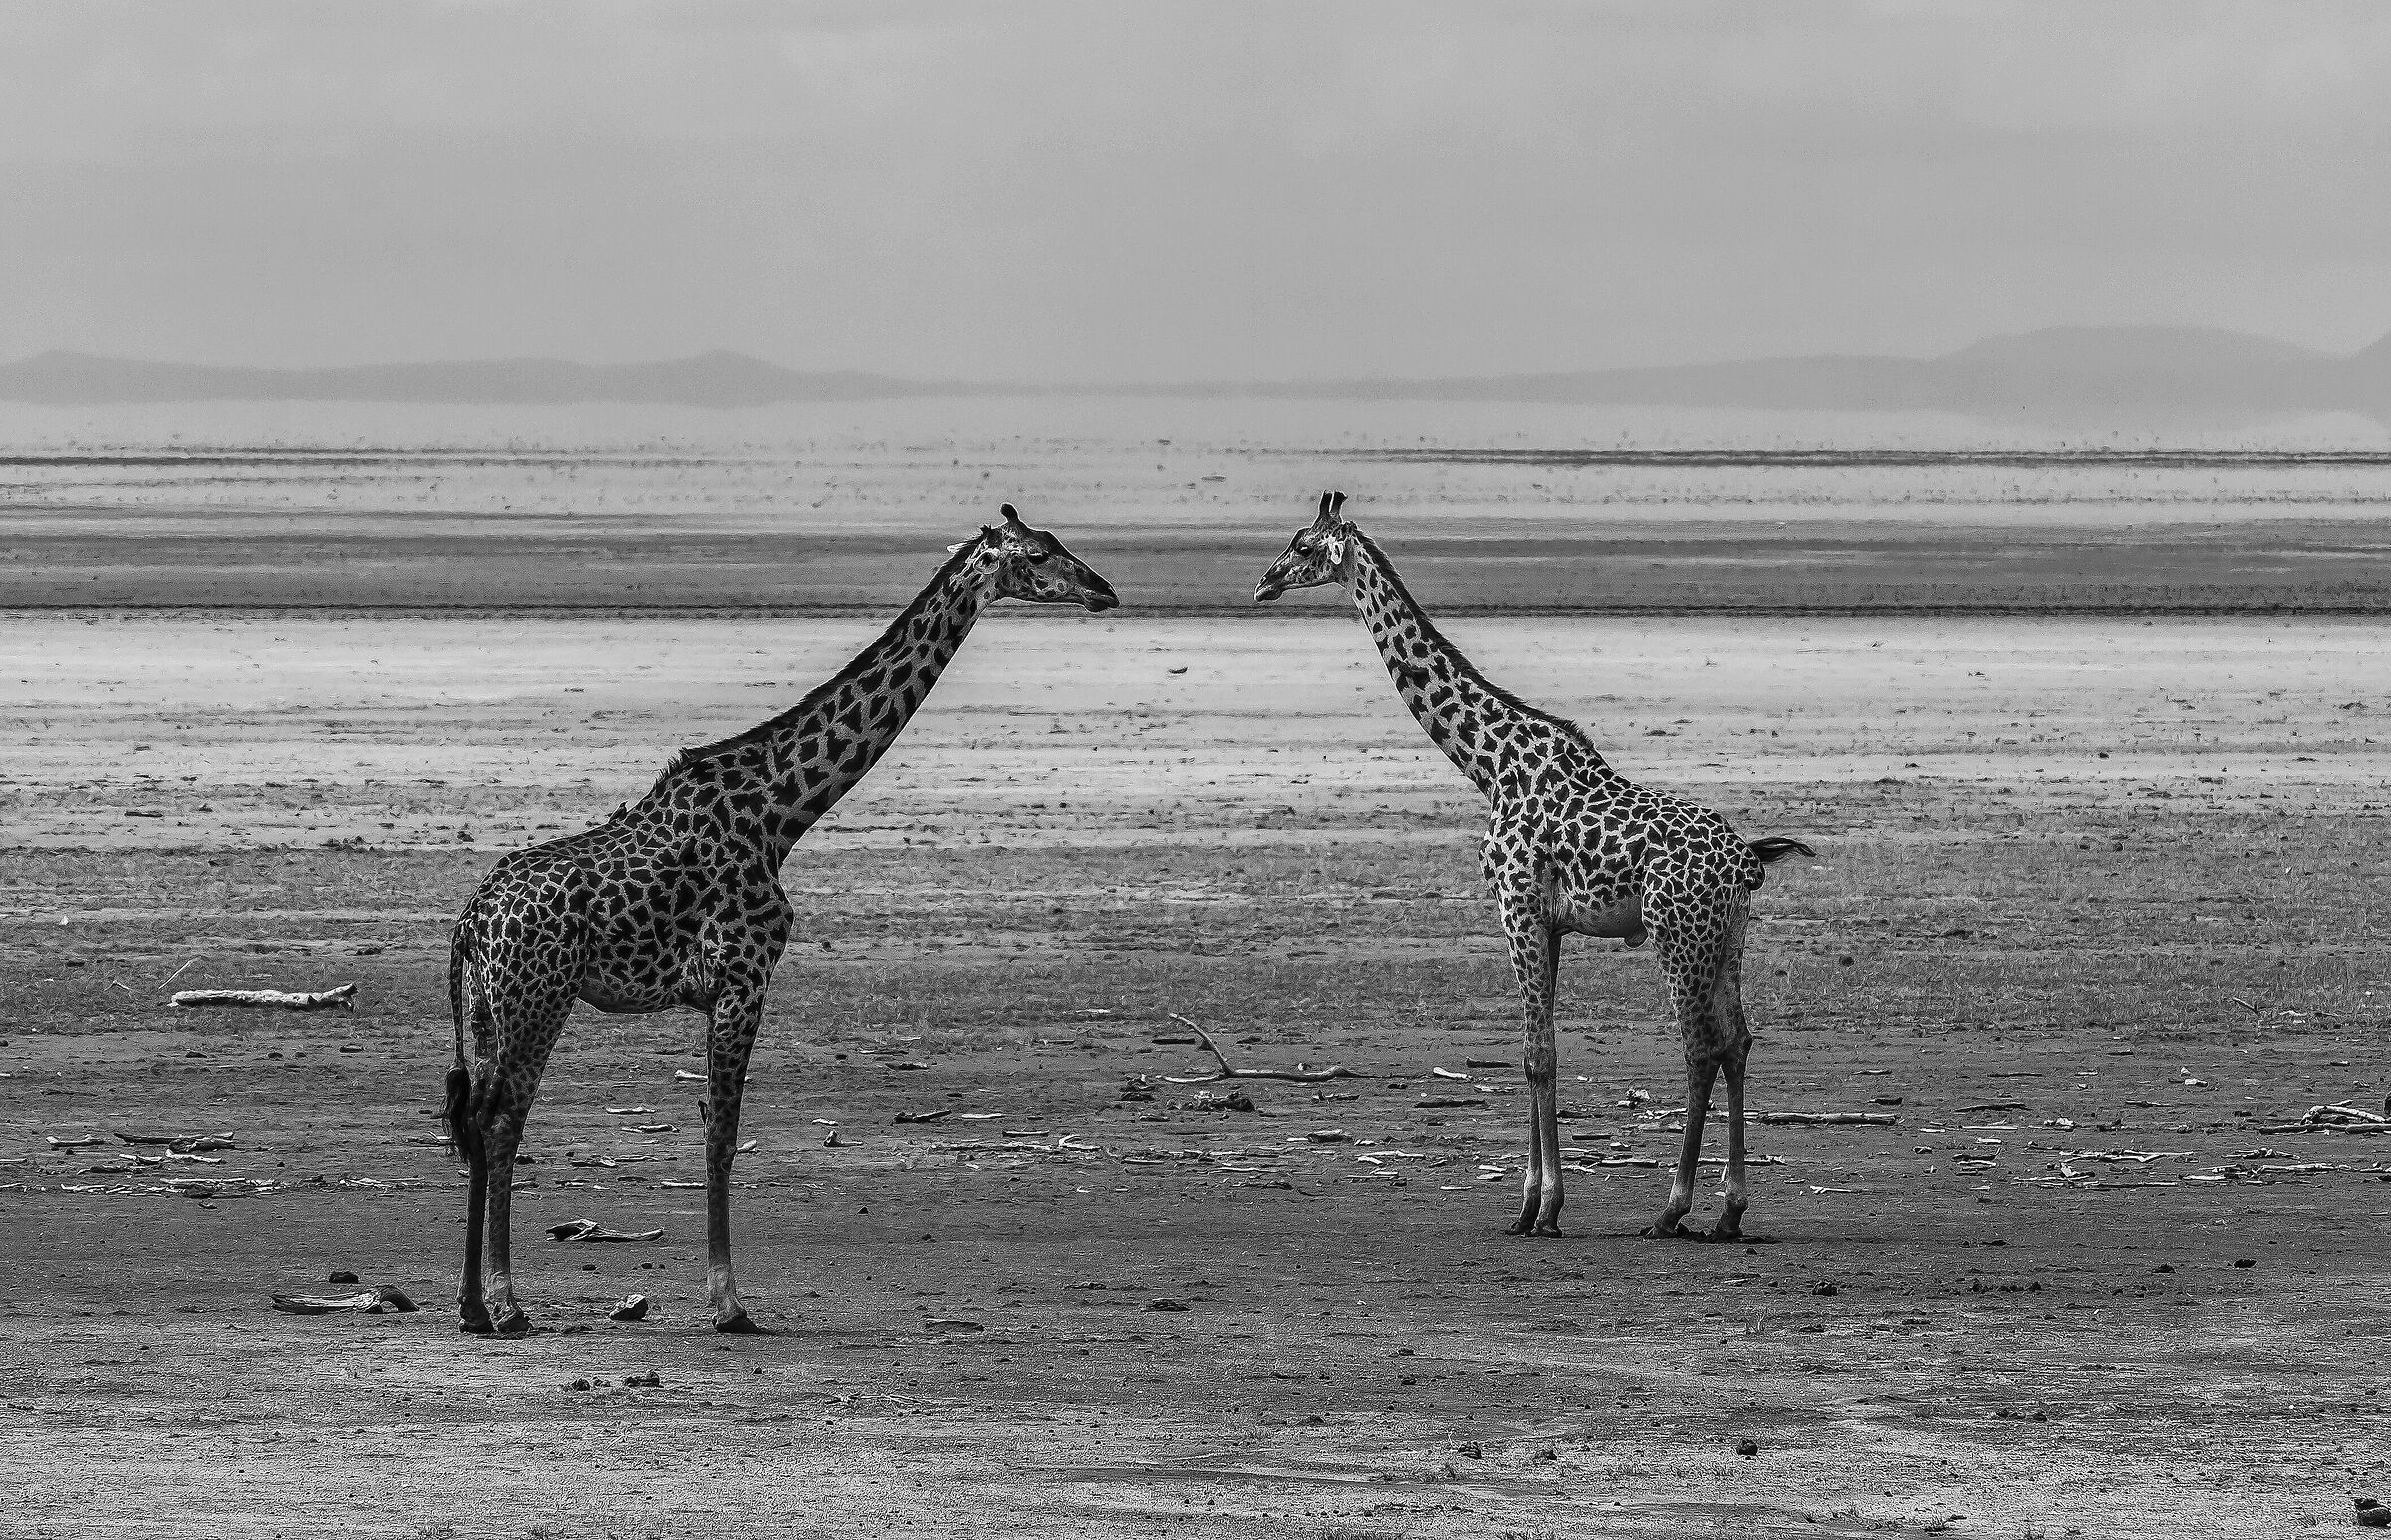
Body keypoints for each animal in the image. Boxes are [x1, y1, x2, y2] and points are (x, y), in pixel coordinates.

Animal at [444, 505, 1117, 1334]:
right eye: (1037, 555)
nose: (1104, 588)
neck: (780, 812)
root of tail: (471, 923)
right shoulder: (743, 980)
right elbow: (723, 1136)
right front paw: (729, 1302)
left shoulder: (726, 989)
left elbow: (717, 1130)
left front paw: (723, 1296)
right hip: (537, 999)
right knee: (503, 1121)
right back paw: (506, 1303)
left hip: (488, 1008)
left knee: (477, 1121)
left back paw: (475, 1304)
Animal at [1255, 493, 1812, 1240]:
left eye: (1304, 546)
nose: (1265, 581)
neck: (1489, 766)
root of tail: (1749, 860)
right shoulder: (1549, 923)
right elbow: (1538, 1054)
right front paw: (1530, 1203)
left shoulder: (1516, 907)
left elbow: (1536, 1054)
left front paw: (1543, 1206)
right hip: (1730, 938)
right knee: (1739, 1042)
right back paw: (1730, 1209)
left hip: (1678, 934)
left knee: (1699, 1046)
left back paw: (1672, 1208)